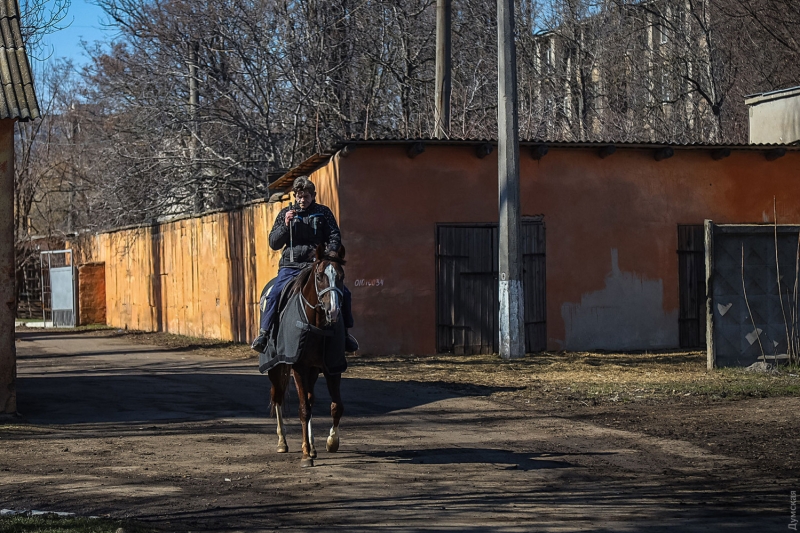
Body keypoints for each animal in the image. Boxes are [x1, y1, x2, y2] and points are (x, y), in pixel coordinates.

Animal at [268, 244, 346, 466]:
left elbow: (336, 406)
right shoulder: (298, 367)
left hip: (312, 371)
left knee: (310, 400)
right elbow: (303, 409)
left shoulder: (332, 367)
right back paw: (283, 442)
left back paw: (312, 447)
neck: (317, 326)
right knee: (277, 397)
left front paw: (331, 442)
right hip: (276, 369)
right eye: (319, 276)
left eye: (341, 276)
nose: (334, 311)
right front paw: (304, 455)